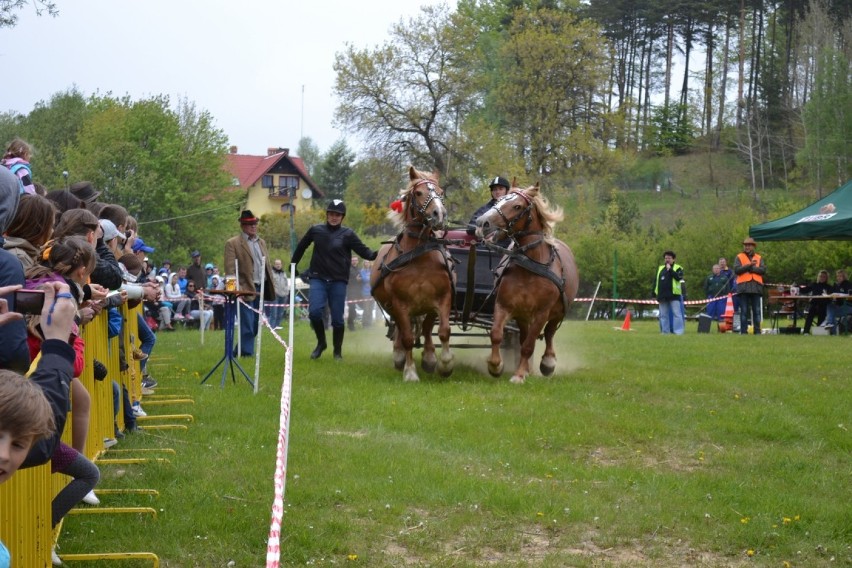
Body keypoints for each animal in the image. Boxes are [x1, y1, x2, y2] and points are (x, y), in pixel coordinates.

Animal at [372, 166, 456, 384]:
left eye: (441, 192)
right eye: (418, 193)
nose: (439, 214)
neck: (418, 256)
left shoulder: (442, 298)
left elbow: (442, 331)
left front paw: (443, 363)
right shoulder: (399, 304)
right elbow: (408, 337)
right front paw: (410, 371)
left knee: (425, 329)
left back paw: (429, 356)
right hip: (392, 307)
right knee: (402, 331)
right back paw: (399, 355)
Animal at [472, 184, 580, 384]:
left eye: (517, 206)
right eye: (499, 200)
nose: (483, 222)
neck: (530, 266)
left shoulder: (541, 313)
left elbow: (529, 345)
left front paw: (519, 374)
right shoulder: (504, 305)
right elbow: (496, 334)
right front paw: (496, 365)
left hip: (558, 312)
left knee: (549, 333)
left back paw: (547, 362)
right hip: (523, 316)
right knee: (523, 336)